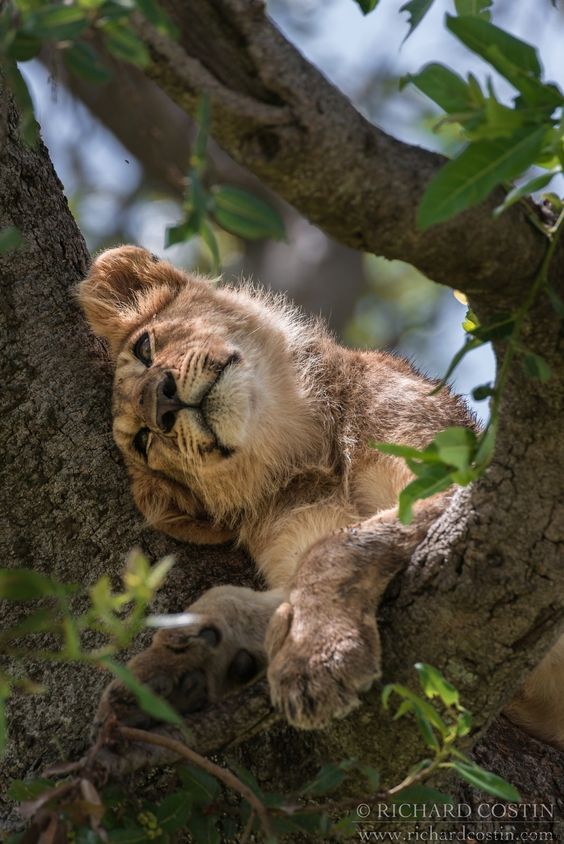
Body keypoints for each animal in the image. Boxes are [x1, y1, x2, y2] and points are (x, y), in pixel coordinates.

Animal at [78, 245, 563, 746]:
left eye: (145, 348)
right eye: (143, 442)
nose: (161, 401)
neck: (309, 447)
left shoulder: (477, 484)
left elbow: (337, 548)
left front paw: (315, 656)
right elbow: (252, 592)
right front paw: (170, 674)